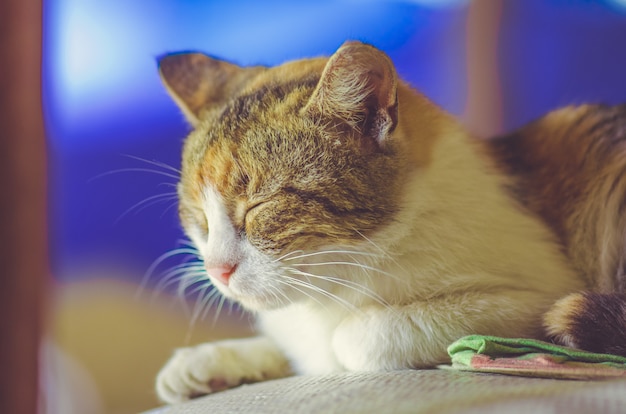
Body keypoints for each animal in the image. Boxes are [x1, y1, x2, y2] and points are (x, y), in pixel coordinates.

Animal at [152, 40, 624, 402]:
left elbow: (356, 339)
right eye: (199, 215)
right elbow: (299, 346)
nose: (217, 269)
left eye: (259, 206)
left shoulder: (537, 294)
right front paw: (210, 359)